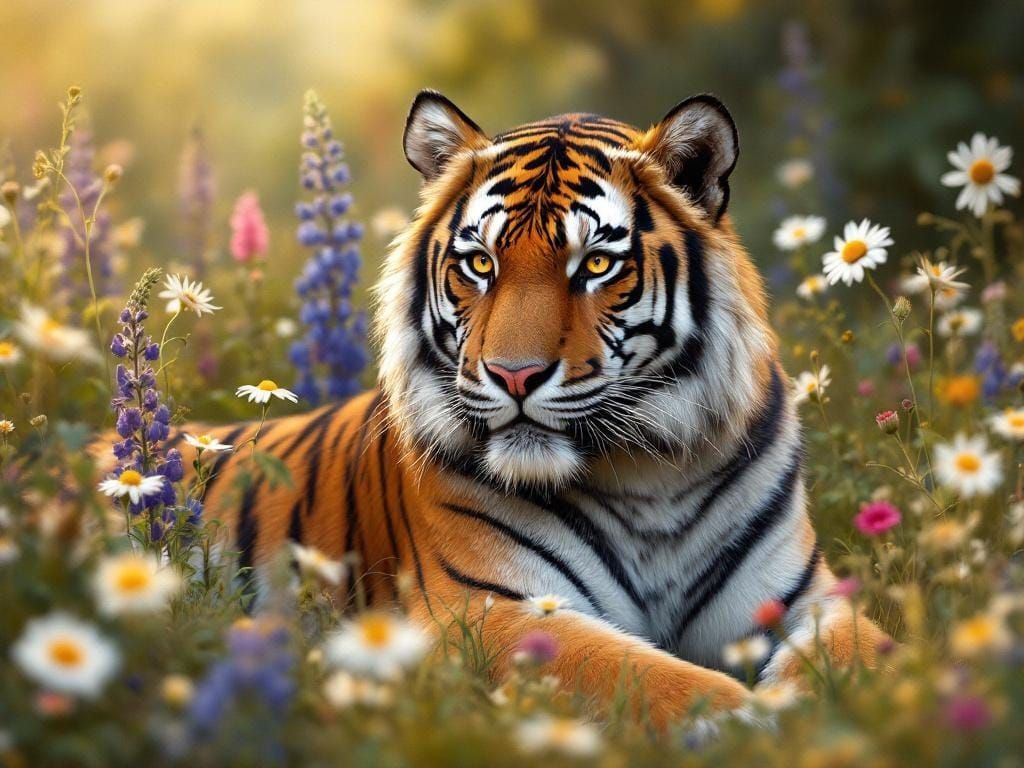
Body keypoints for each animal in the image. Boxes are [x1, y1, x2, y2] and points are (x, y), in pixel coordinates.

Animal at [143, 90, 889, 728]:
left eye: (595, 265)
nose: (514, 375)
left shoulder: (808, 597)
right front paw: (751, 724)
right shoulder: (486, 609)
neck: (651, 472)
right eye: (480, 264)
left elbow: (867, 656)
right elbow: (648, 676)